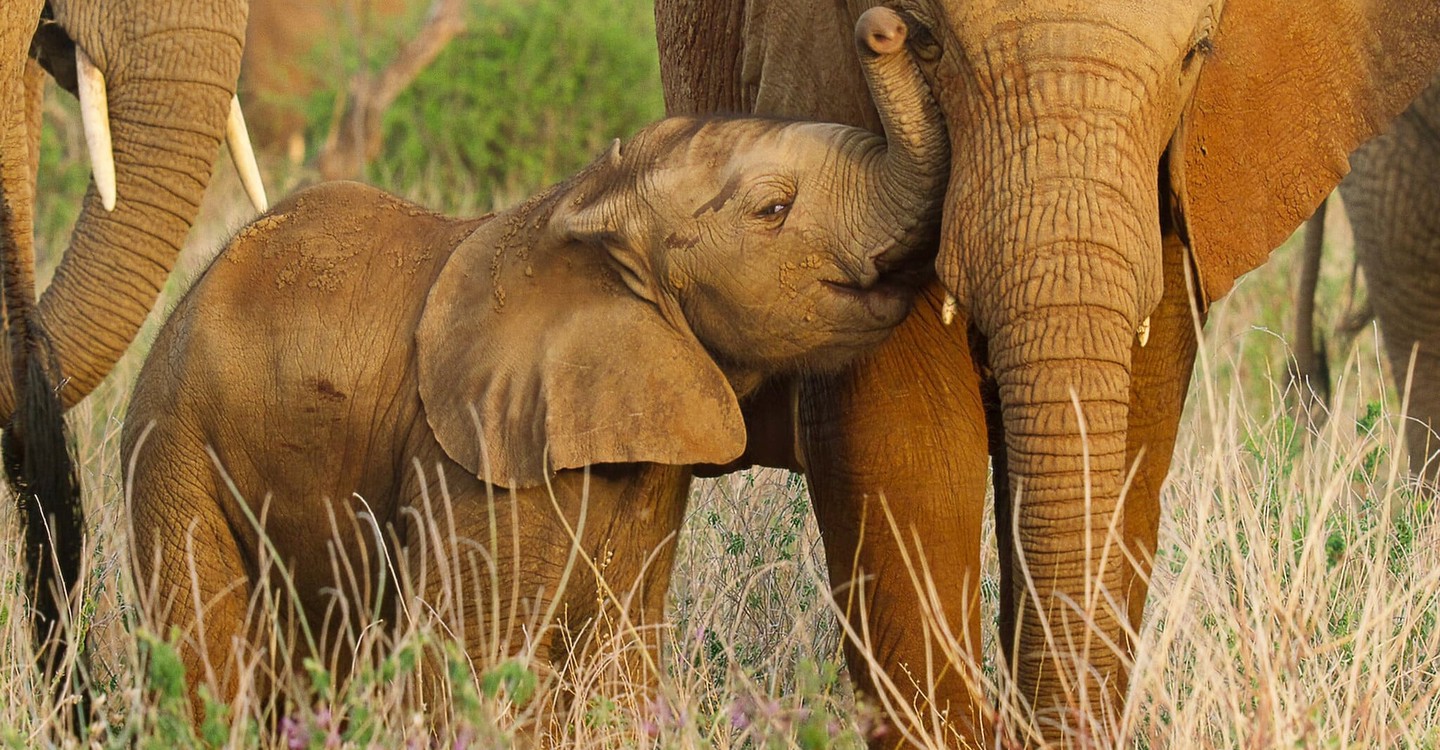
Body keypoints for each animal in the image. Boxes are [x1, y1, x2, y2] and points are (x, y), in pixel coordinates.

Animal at [123, 7, 944, 719]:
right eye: (773, 211)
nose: (887, 26)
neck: (586, 204)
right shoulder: (474, 460)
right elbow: (466, 665)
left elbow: (615, 658)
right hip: (172, 451)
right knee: (205, 656)